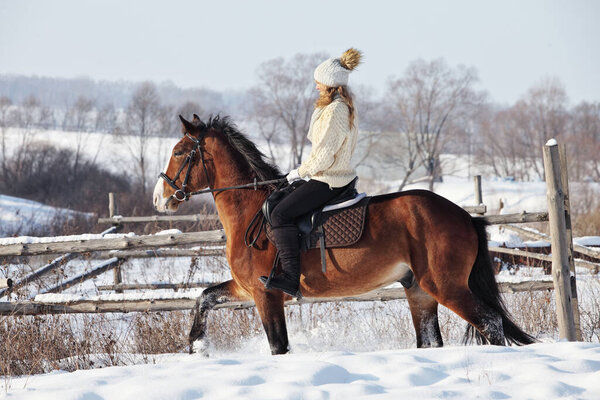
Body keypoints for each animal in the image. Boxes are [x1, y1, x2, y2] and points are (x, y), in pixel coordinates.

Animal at [154, 114, 536, 354]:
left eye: (179, 152)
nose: (160, 198)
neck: (251, 209)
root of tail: (464, 216)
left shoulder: (266, 295)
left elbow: (279, 346)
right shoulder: (245, 288)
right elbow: (204, 297)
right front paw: (197, 346)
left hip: (446, 286)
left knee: (491, 324)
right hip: (419, 290)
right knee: (433, 339)